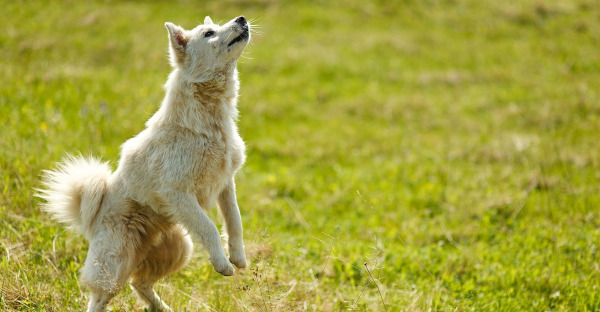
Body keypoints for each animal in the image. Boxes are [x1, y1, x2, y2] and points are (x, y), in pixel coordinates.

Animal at [38, 15, 251, 312]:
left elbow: (235, 221)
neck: (208, 122)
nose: (241, 19)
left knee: (140, 283)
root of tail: (91, 217)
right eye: (209, 33)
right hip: (114, 266)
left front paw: (238, 258)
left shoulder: (225, 183)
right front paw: (222, 264)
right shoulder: (177, 191)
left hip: (178, 248)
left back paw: (164, 308)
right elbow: (209, 226)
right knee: (101, 297)